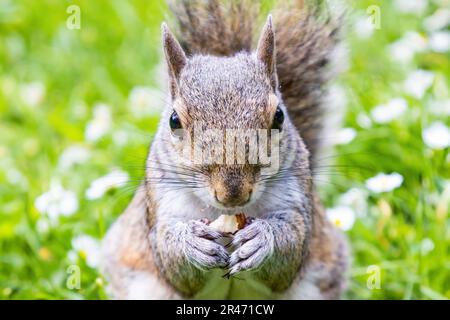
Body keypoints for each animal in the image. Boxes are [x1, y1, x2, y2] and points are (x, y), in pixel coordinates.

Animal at [101, 0, 348, 300]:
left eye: (279, 116)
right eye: (174, 121)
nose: (232, 194)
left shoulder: (296, 202)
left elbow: (292, 247)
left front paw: (263, 238)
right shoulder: (161, 206)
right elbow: (169, 257)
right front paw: (191, 243)